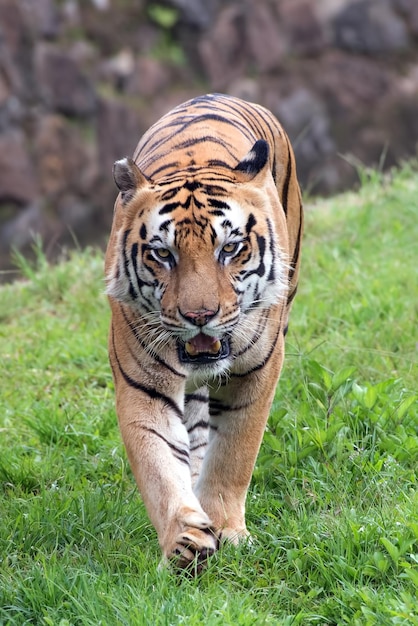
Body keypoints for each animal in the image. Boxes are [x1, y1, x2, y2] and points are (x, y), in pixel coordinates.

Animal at [103, 92, 302, 572]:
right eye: (162, 254)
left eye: (229, 249)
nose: (199, 315)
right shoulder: (144, 385)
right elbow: (160, 464)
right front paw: (185, 541)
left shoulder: (257, 371)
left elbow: (234, 454)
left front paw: (228, 529)